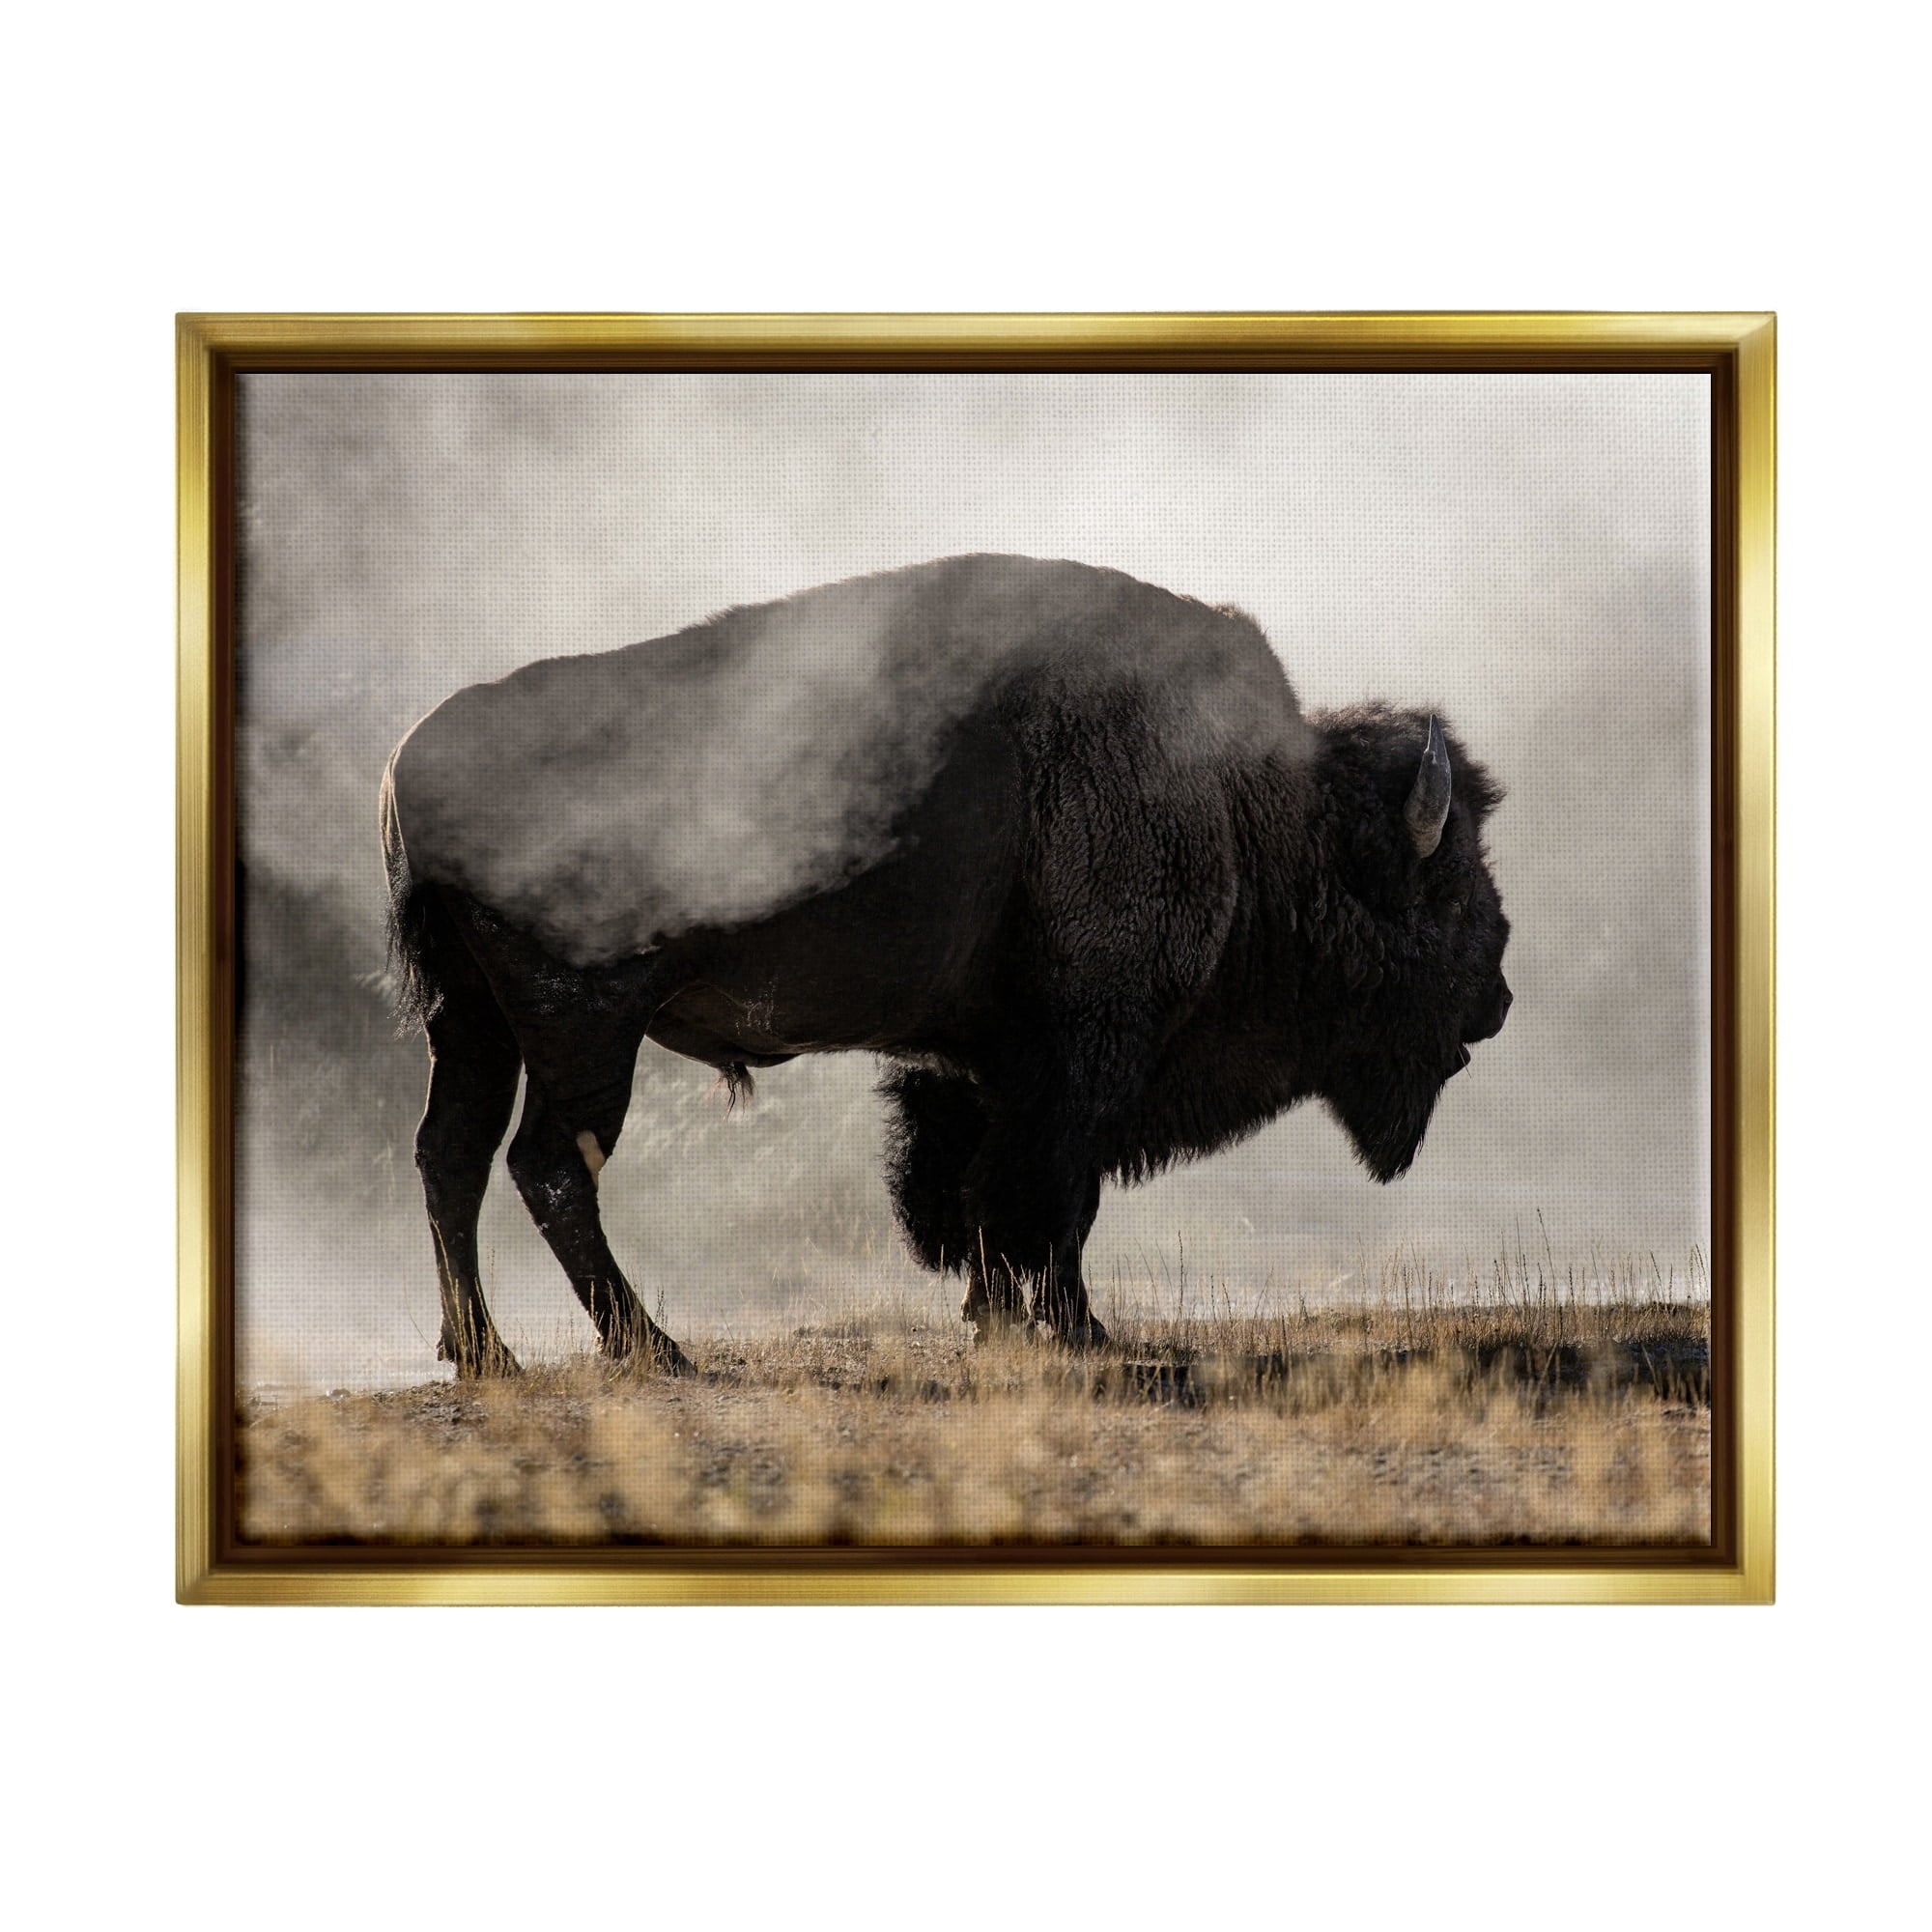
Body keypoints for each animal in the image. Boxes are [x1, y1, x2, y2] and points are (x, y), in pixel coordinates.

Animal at [380, 554, 1511, 1376]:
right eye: (1449, 884)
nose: (1497, 997)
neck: (1248, 804)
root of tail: (412, 761)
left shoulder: (990, 1064)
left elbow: (985, 1193)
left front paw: (996, 1318)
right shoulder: (1087, 1051)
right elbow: (1050, 1195)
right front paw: (1077, 1329)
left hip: (471, 1019)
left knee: (451, 1155)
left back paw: (487, 1356)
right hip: (584, 1025)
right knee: (549, 1164)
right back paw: (654, 1349)